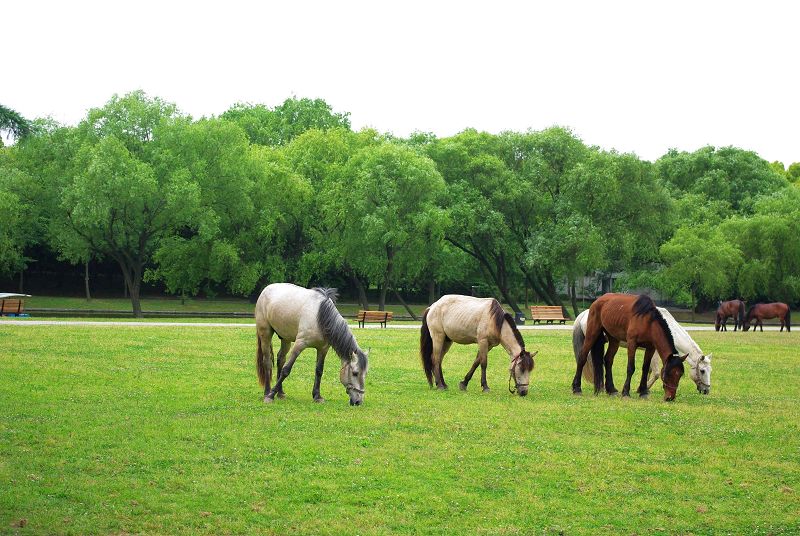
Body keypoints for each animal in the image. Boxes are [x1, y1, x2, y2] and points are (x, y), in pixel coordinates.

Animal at [576, 306, 712, 394]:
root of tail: (584, 314)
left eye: (710, 370)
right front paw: (643, 389)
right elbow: (656, 373)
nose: (706, 390)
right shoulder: (656, 353)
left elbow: (648, 371)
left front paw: (642, 387)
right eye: (702, 371)